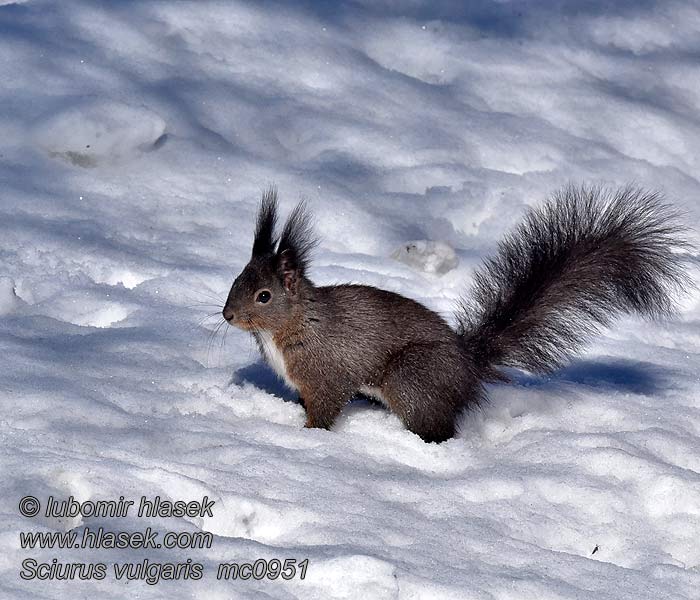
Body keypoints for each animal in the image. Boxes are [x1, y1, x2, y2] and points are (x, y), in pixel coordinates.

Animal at [223, 185, 688, 442]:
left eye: (263, 296)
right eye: (237, 278)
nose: (227, 316)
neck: (298, 321)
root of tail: (468, 363)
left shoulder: (327, 372)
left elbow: (325, 407)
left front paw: (308, 436)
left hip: (412, 375)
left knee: (438, 430)